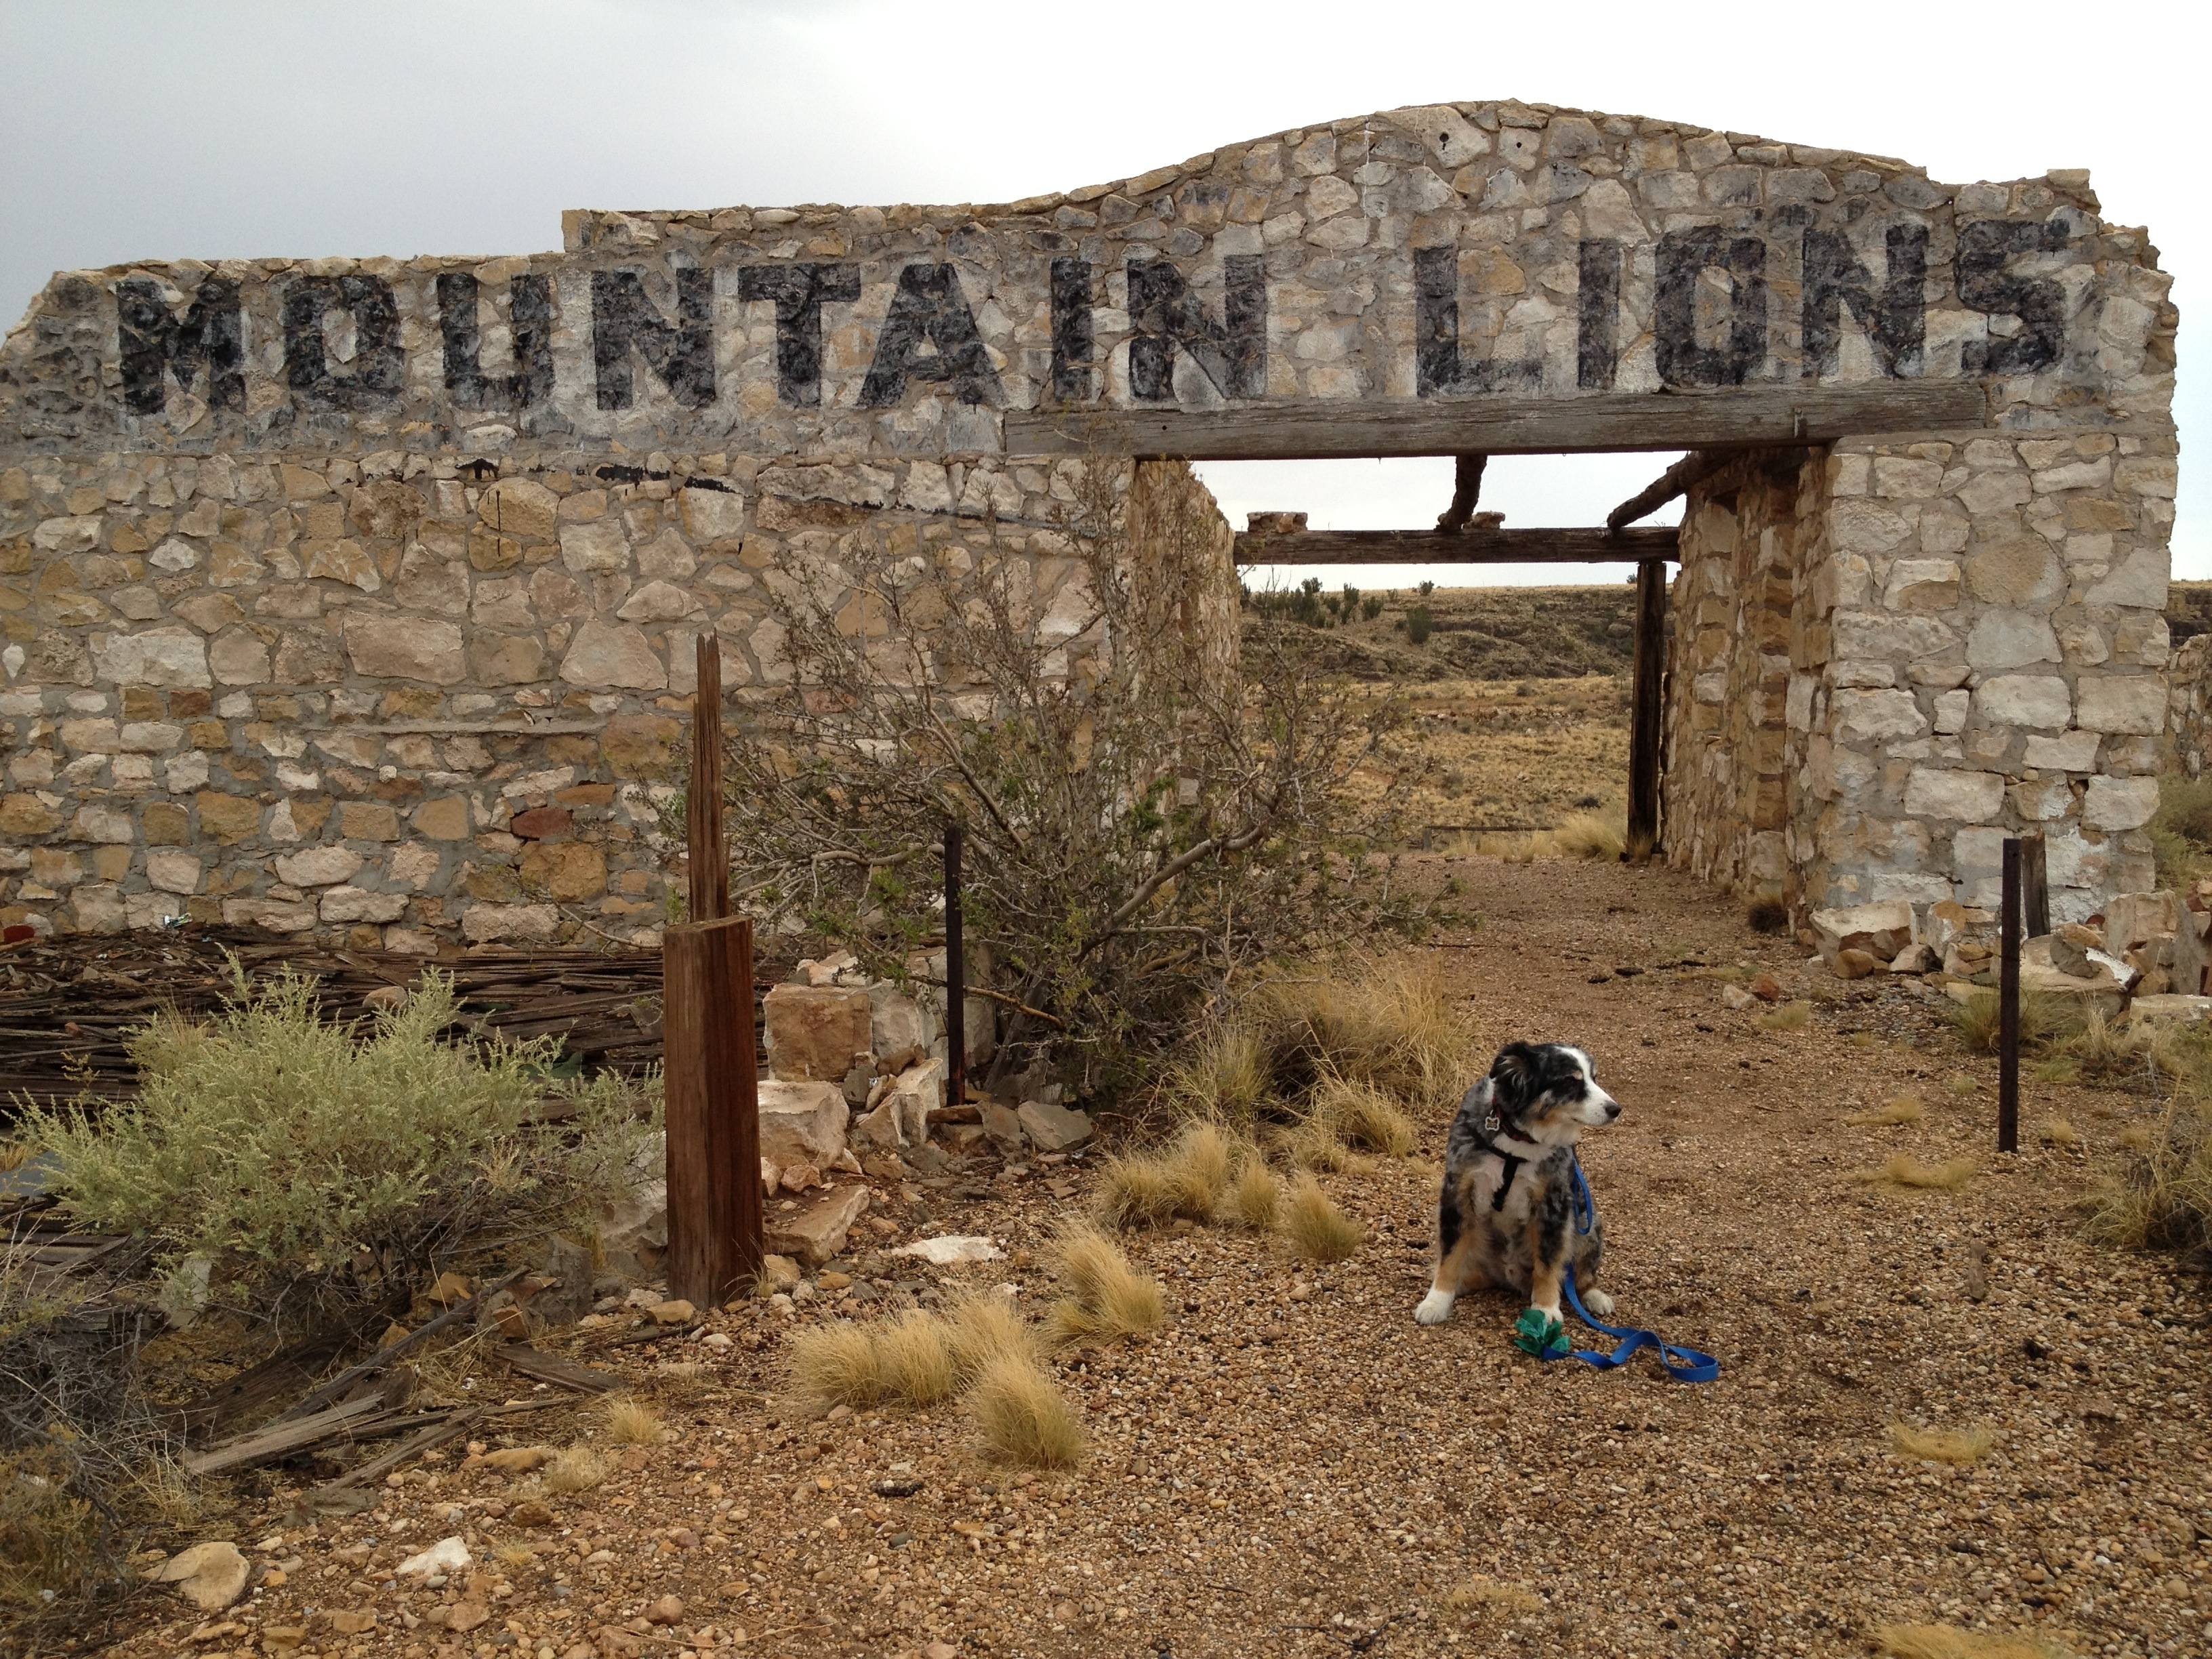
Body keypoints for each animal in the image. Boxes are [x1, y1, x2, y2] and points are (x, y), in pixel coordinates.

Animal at [1413, 1041, 1621, 1329]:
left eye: (1594, 1078)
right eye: (1570, 1081)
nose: (1615, 1109)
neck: (1518, 1137)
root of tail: (1510, 1276)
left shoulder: (1553, 1203)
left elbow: (1547, 1264)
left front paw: (1545, 1309)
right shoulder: (1457, 1194)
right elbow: (1450, 1254)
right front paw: (1437, 1300)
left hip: (1586, 1224)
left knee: (1582, 1277)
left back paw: (1594, 1296)